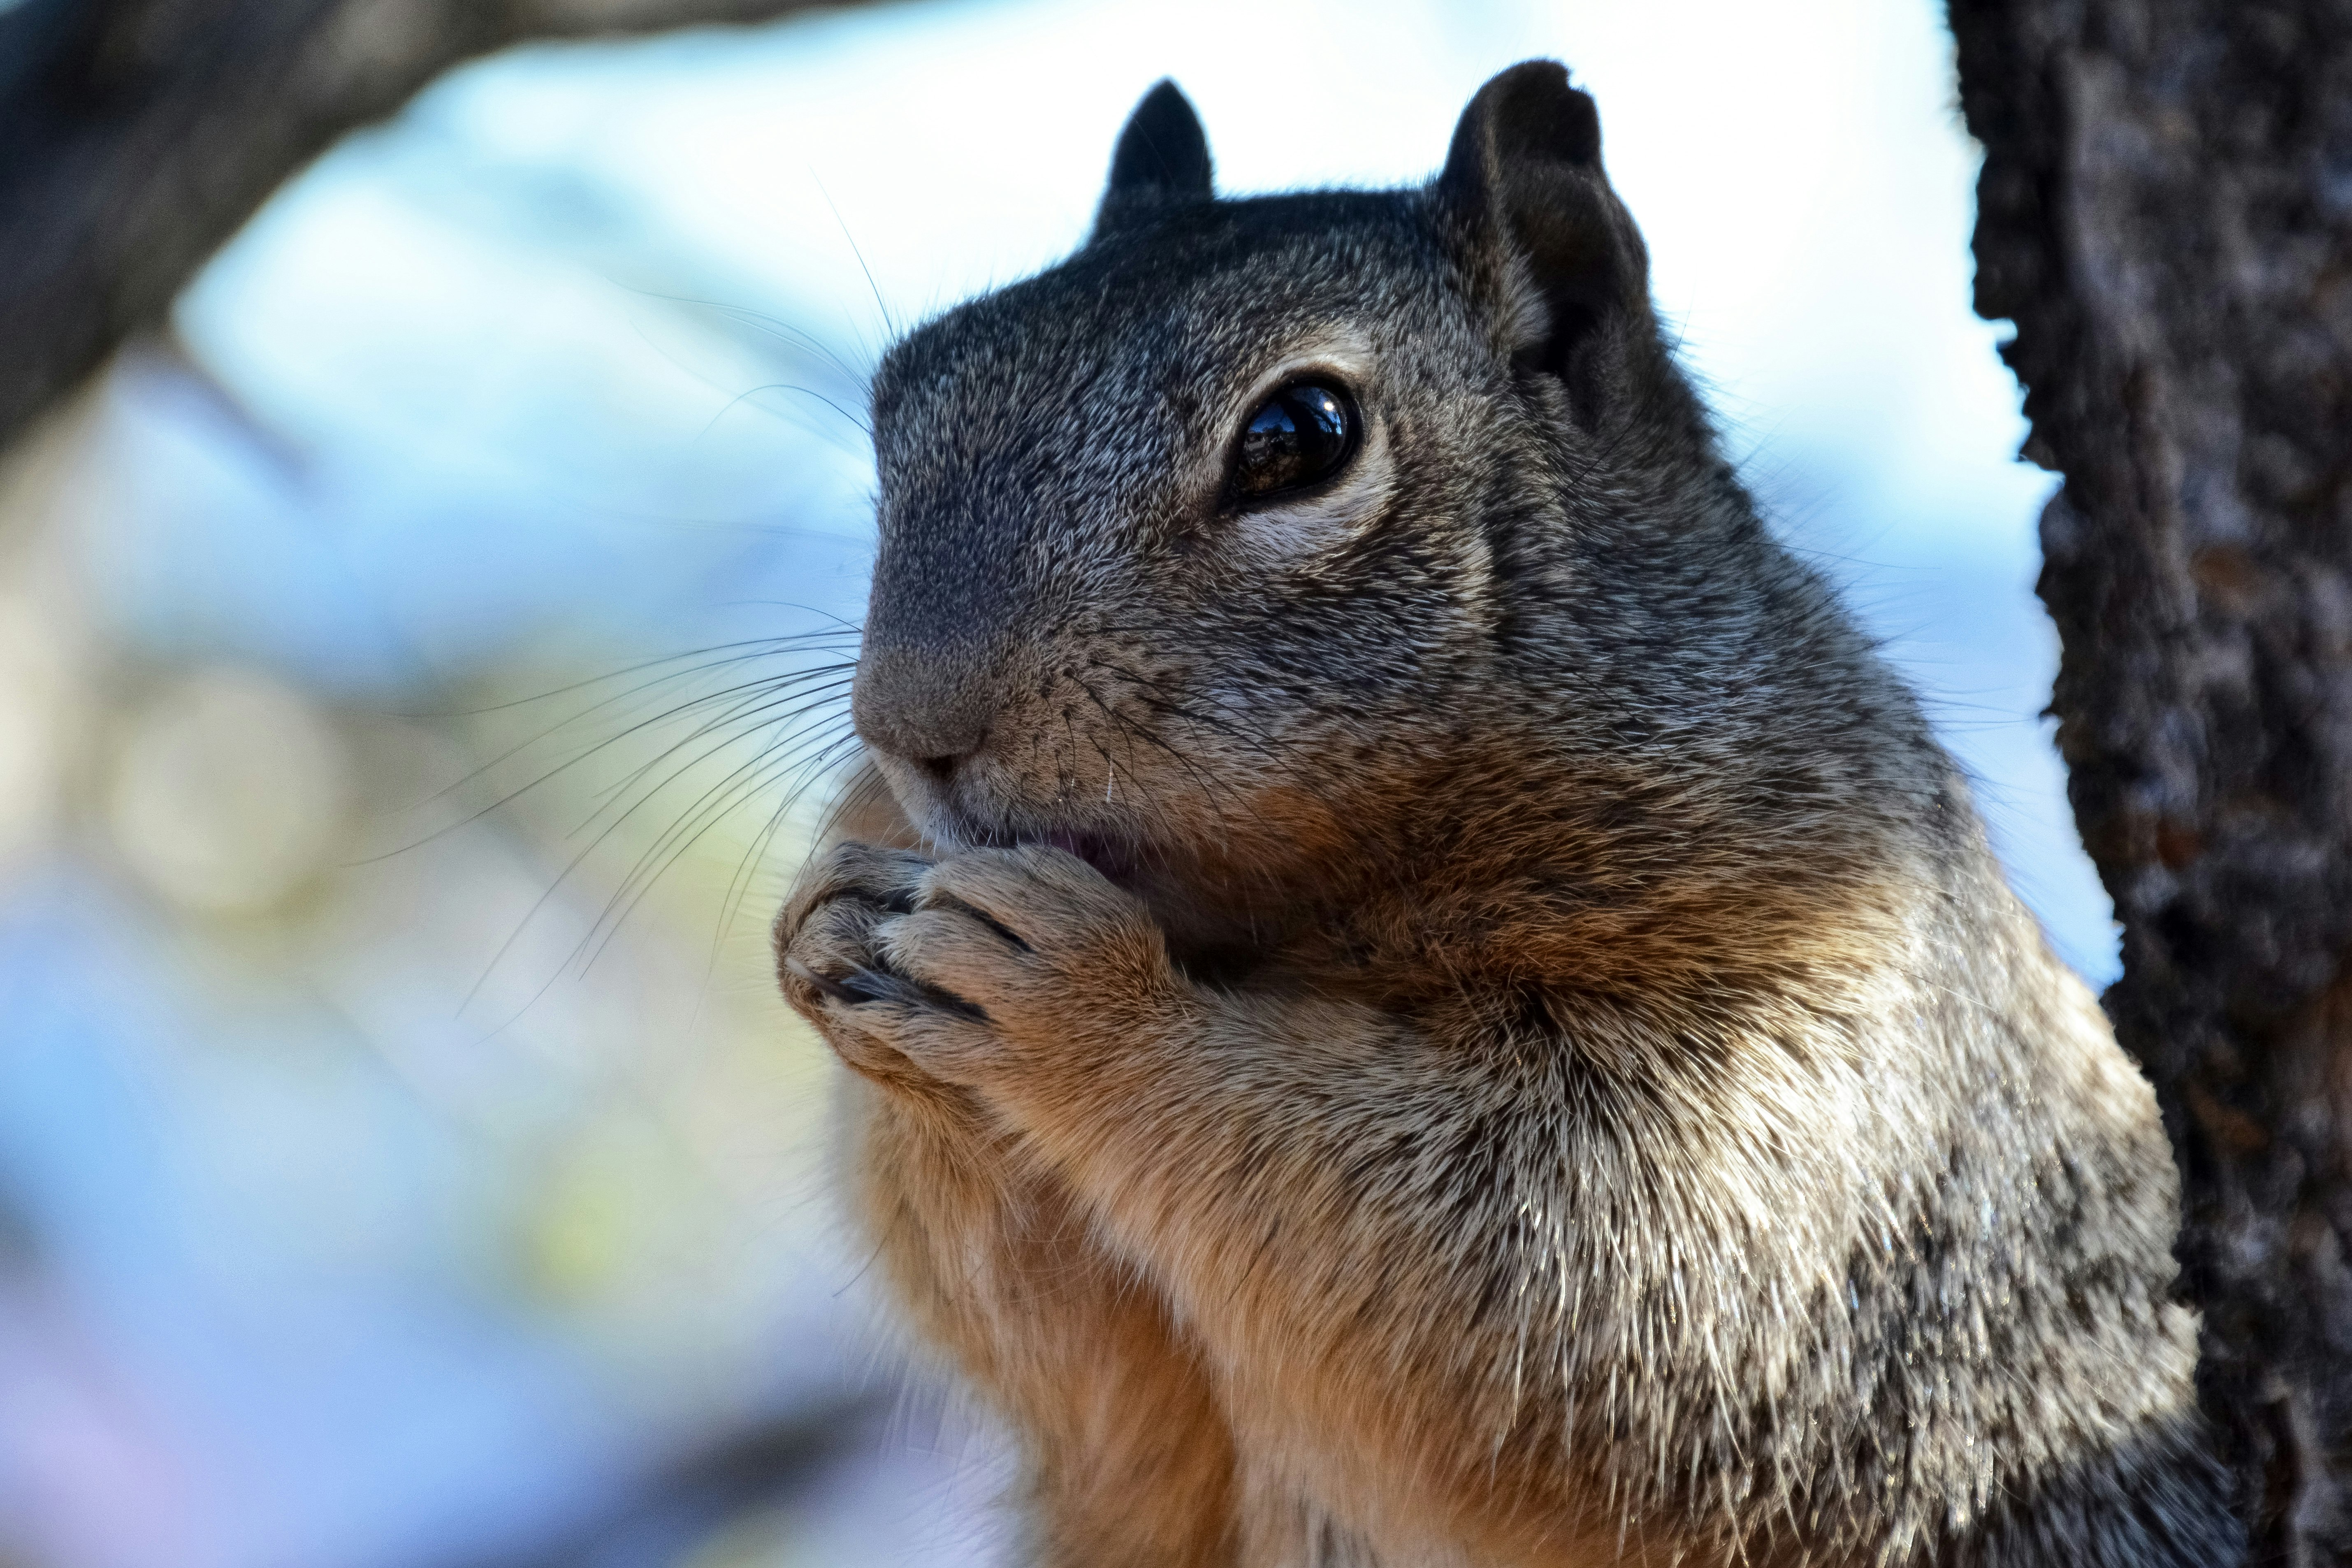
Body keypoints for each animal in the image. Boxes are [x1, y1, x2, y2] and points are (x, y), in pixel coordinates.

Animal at [771, 61, 2239, 1568]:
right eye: (900, 400)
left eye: (1300, 437)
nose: (908, 726)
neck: (1280, 930)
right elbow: (1108, 1403)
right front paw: (835, 932)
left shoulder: (1820, 1062)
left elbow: (1575, 1292)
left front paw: (1080, 1003)